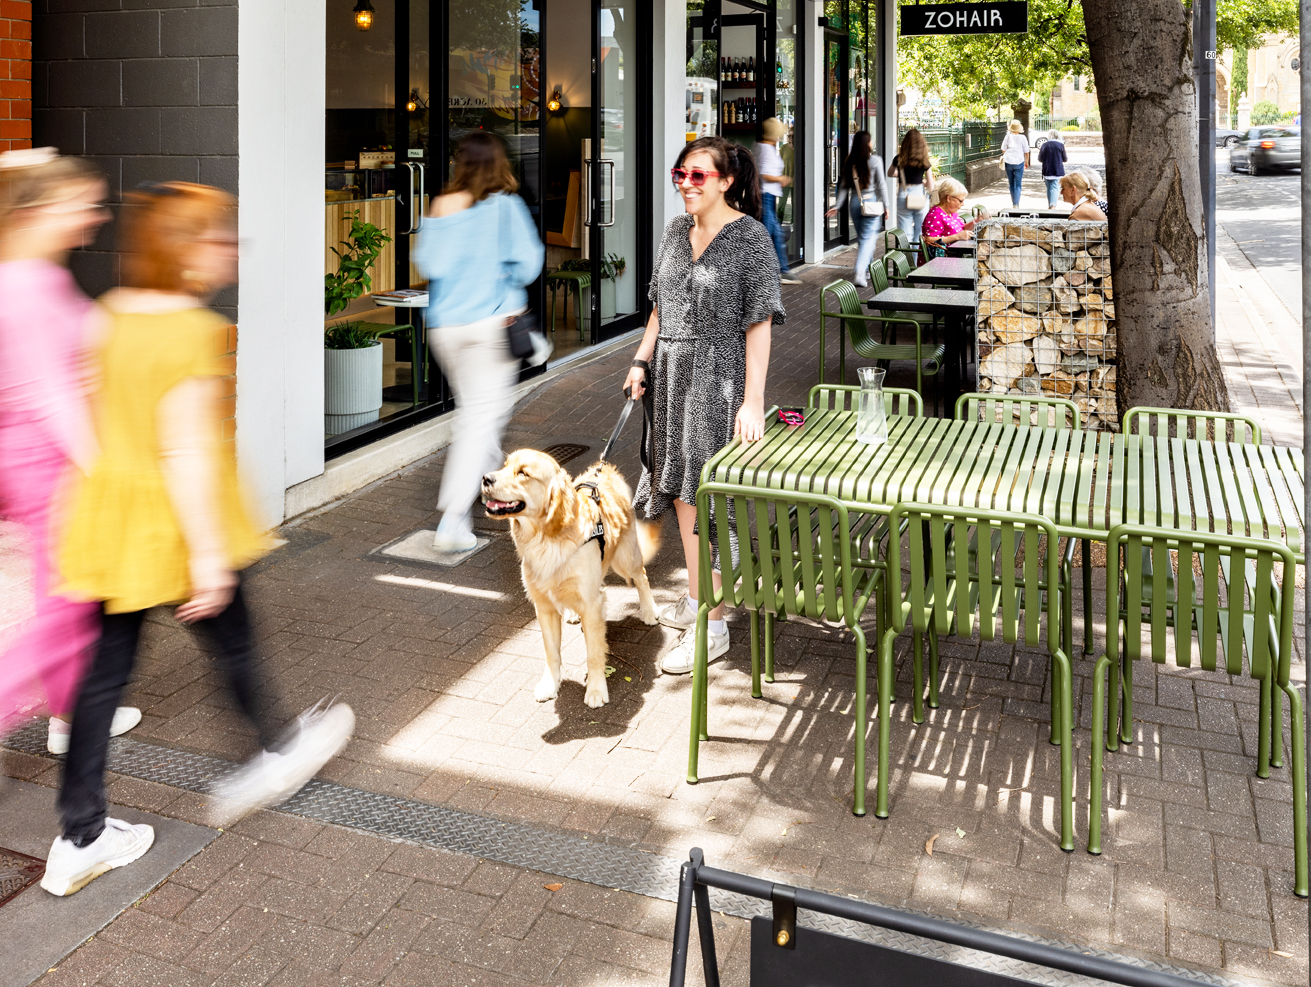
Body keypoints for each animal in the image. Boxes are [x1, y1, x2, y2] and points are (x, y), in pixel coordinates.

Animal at [485, 445, 660, 707]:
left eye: (523, 473)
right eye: (504, 466)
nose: (486, 478)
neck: (545, 539)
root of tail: (605, 470)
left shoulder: (591, 602)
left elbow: (594, 653)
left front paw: (596, 689)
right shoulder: (543, 606)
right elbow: (551, 652)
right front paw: (550, 684)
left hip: (625, 559)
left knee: (642, 576)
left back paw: (649, 611)